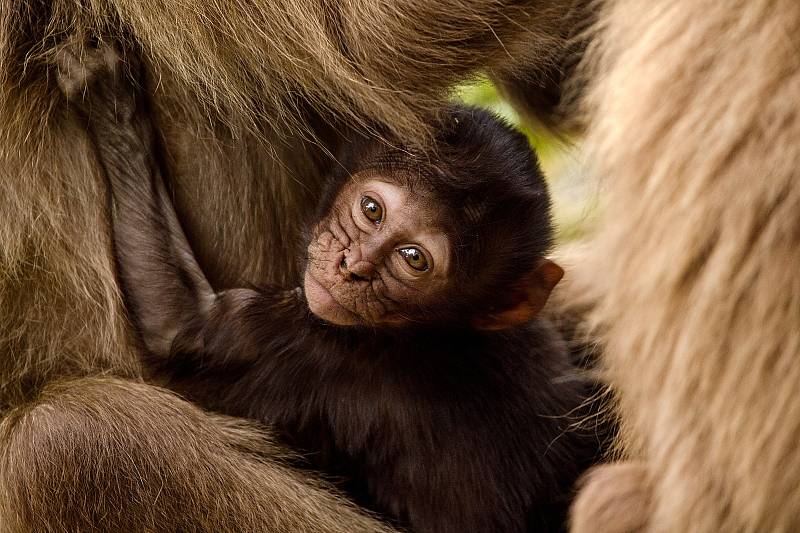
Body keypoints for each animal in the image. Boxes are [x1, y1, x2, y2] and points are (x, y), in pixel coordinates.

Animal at [0, 0, 588, 528]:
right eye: (371, 210)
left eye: (413, 260)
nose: (353, 267)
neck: (435, 333)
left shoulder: (304, 343)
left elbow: (179, 329)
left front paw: (111, 105)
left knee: (66, 444)